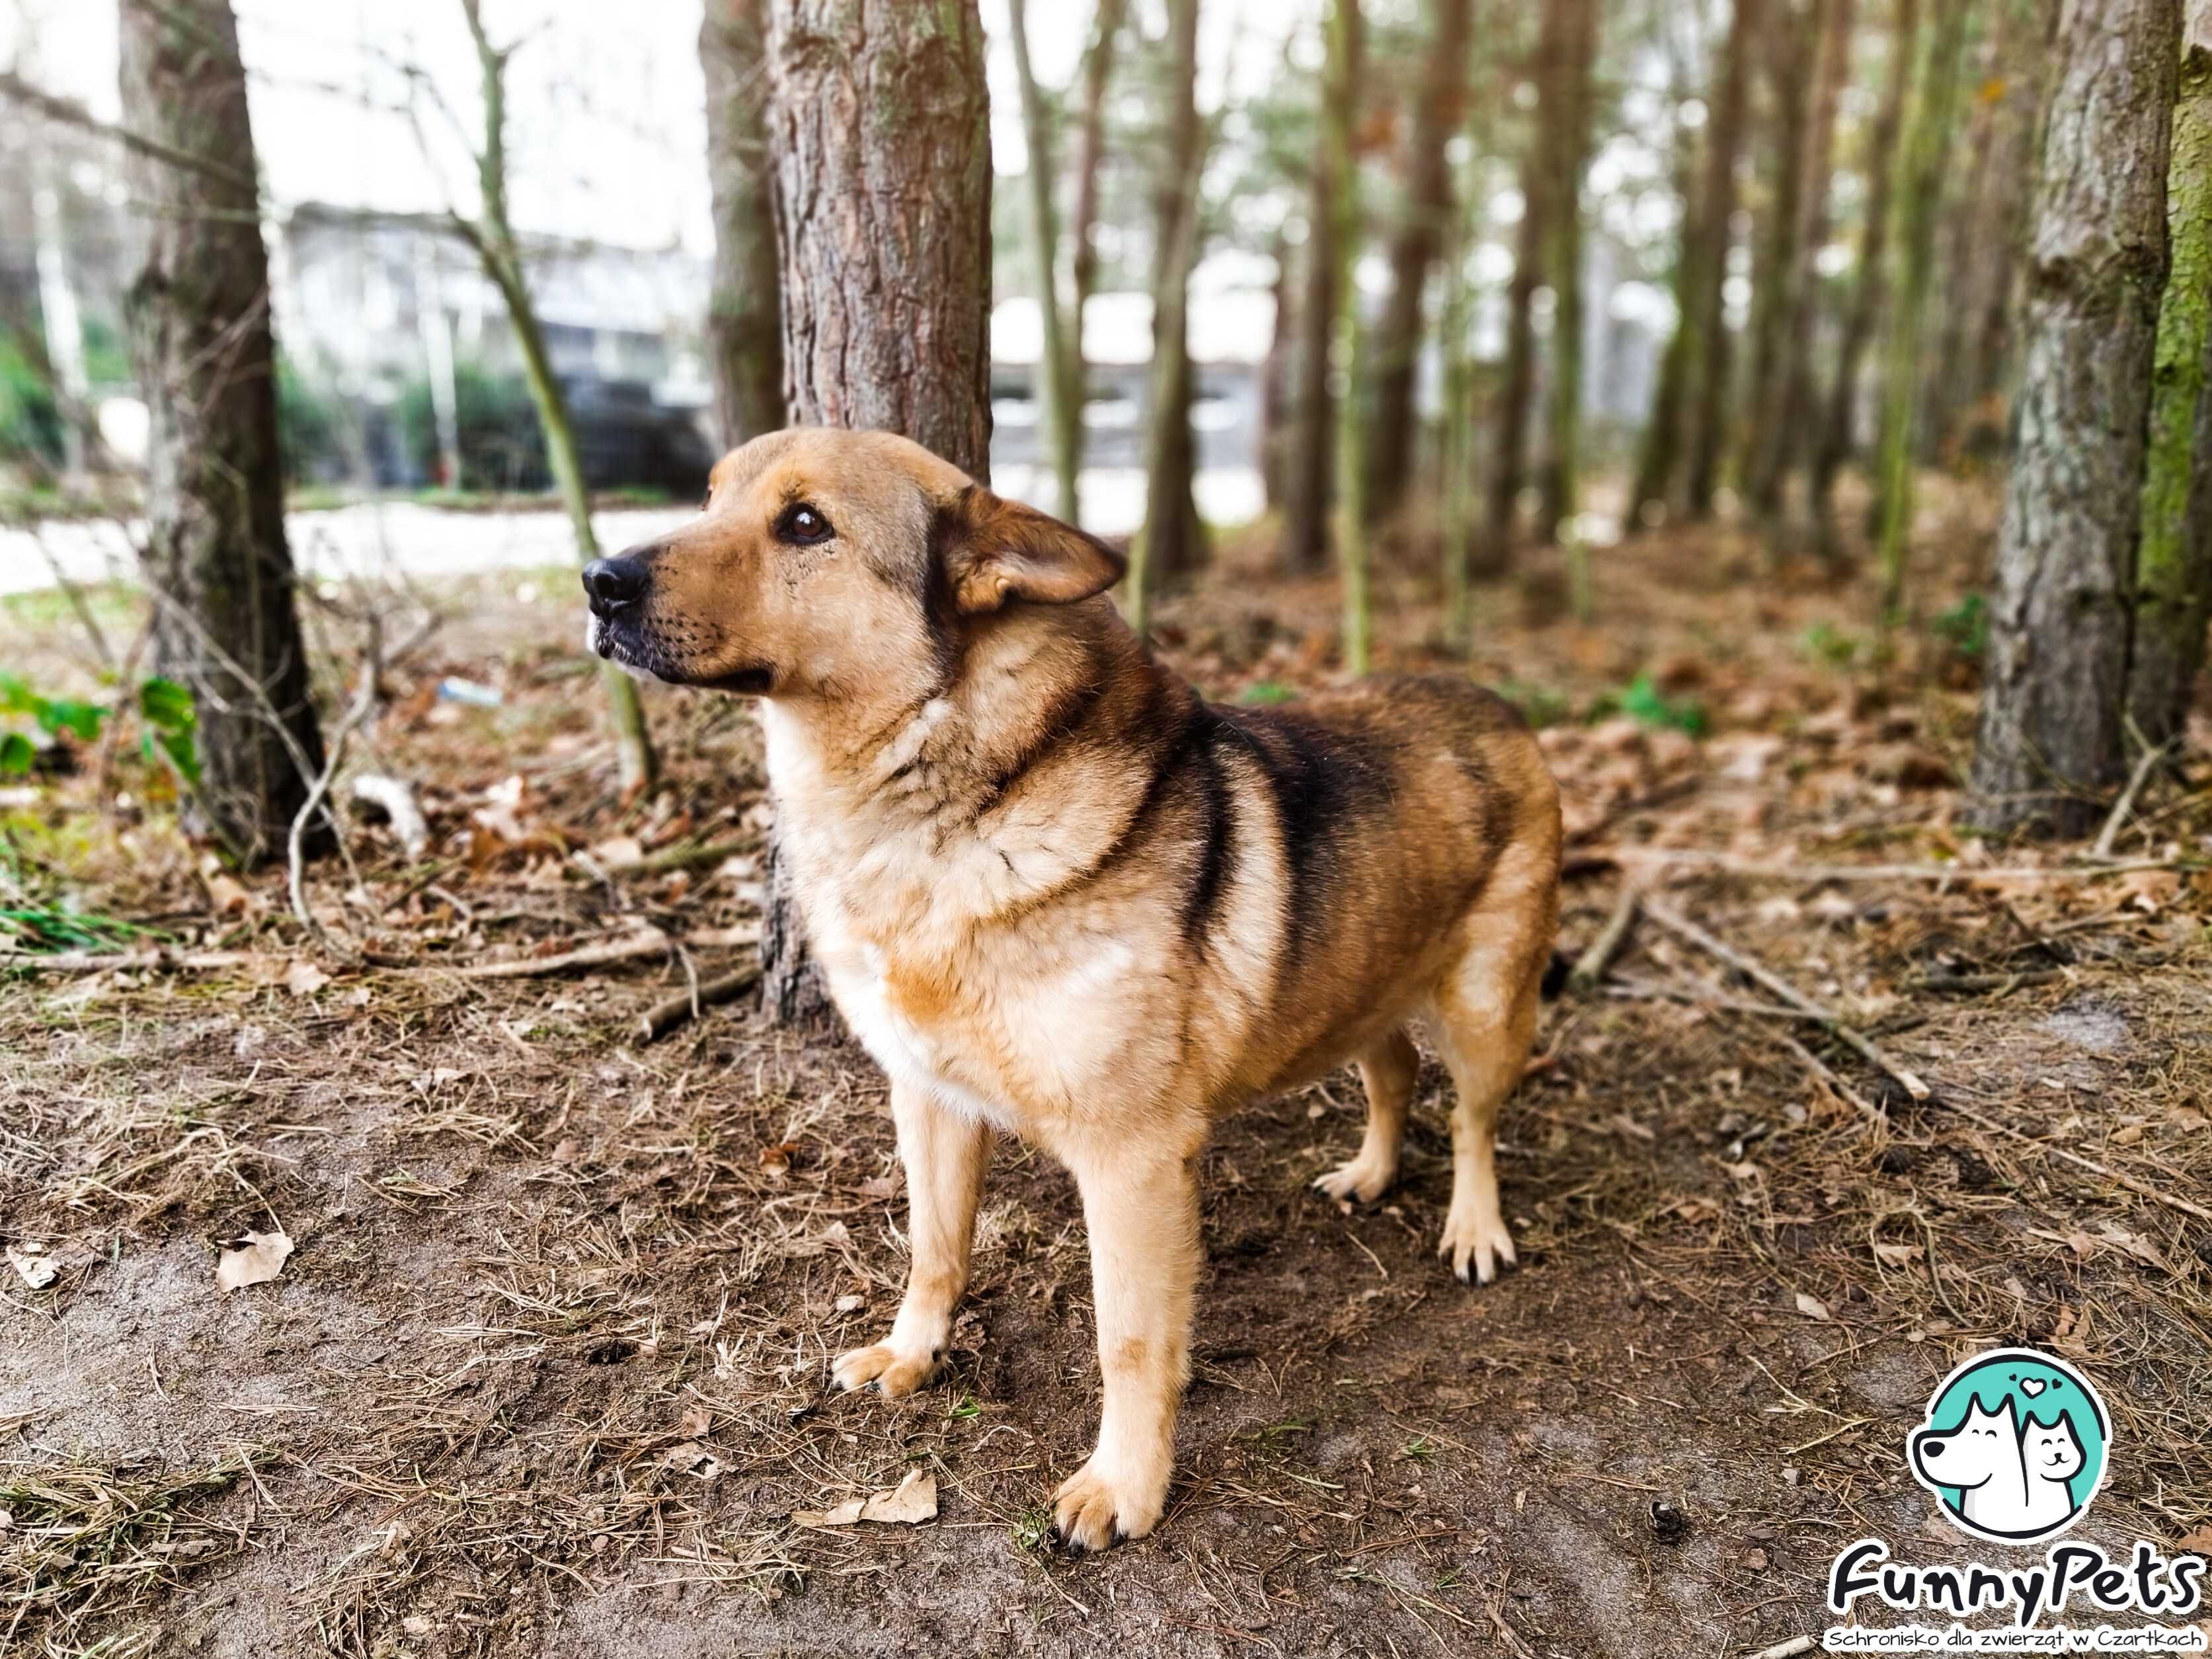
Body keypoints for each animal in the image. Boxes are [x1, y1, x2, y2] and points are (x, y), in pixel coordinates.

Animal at [579, 429, 1565, 1557]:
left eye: (803, 524)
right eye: (708, 497)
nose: (597, 579)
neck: (945, 802)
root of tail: (1494, 702)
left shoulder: (1131, 1163)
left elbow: (1129, 1342)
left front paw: (1125, 1485)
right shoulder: (929, 1101)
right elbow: (934, 1249)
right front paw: (911, 1353)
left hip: (1485, 1010)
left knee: (1474, 1120)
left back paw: (1474, 1226)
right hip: (1358, 982)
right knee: (1392, 1069)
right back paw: (1368, 1171)